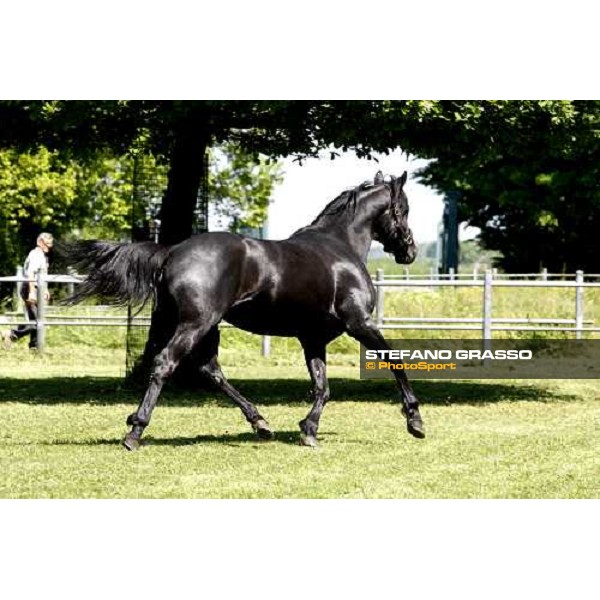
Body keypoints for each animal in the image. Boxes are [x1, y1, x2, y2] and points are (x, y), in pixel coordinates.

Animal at [67, 171, 422, 448]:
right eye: (403, 209)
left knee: (210, 370)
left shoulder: (312, 338)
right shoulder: (360, 324)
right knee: (167, 363)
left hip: (205, 327)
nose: (410, 250)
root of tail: (172, 252)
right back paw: (135, 432)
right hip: (195, 324)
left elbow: (322, 386)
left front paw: (308, 430)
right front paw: (415, 420)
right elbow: (395, 361)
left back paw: (261, 423)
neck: (340, 248)